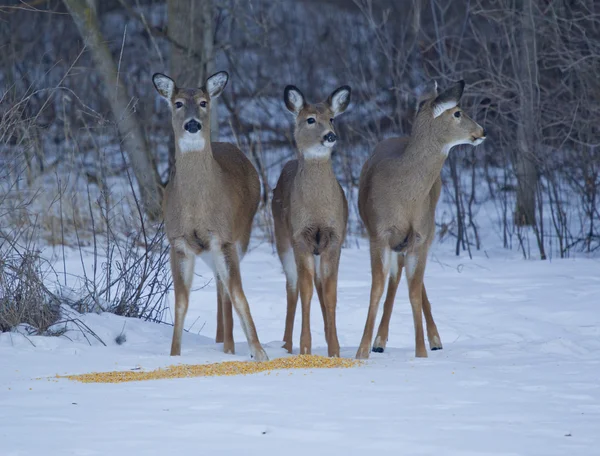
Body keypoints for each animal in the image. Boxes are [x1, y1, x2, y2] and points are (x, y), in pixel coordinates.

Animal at [152, 70, 268, 360]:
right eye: (178, 103)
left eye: (203, 102)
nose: (193, 124)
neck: (197, 208)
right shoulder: (178, 242)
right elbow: (181, 301)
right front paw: (174, 354)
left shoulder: (224, 238)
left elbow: (238, 294)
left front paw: (259, 351)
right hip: (207, 251)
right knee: (218, 284)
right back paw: (220, 341)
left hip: (241, 236)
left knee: (226, 288)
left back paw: (229, 346)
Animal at [272, 84, 352, 356]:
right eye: (310, 119)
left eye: (332, 118)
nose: (330, 136)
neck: (317, 210)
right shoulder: (300, 238)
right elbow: (305, 293)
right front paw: (305, 348)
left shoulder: (334, 238)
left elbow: (330, 294)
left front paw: (335, 350)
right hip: (282, 240)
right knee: (293, 288)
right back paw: (286, 344)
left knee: (317, 286)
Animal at [356, 81, 488, 360]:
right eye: (457, 112)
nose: (483, 131)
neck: (404, 194)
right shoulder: (378, 233)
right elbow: (377, 287)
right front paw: (362, 351)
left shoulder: (419, 234)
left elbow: (414, 291)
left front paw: (421, 353)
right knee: (398, 277)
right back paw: (379, 341)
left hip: (427, 228)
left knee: (411, 281)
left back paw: (433, 339)